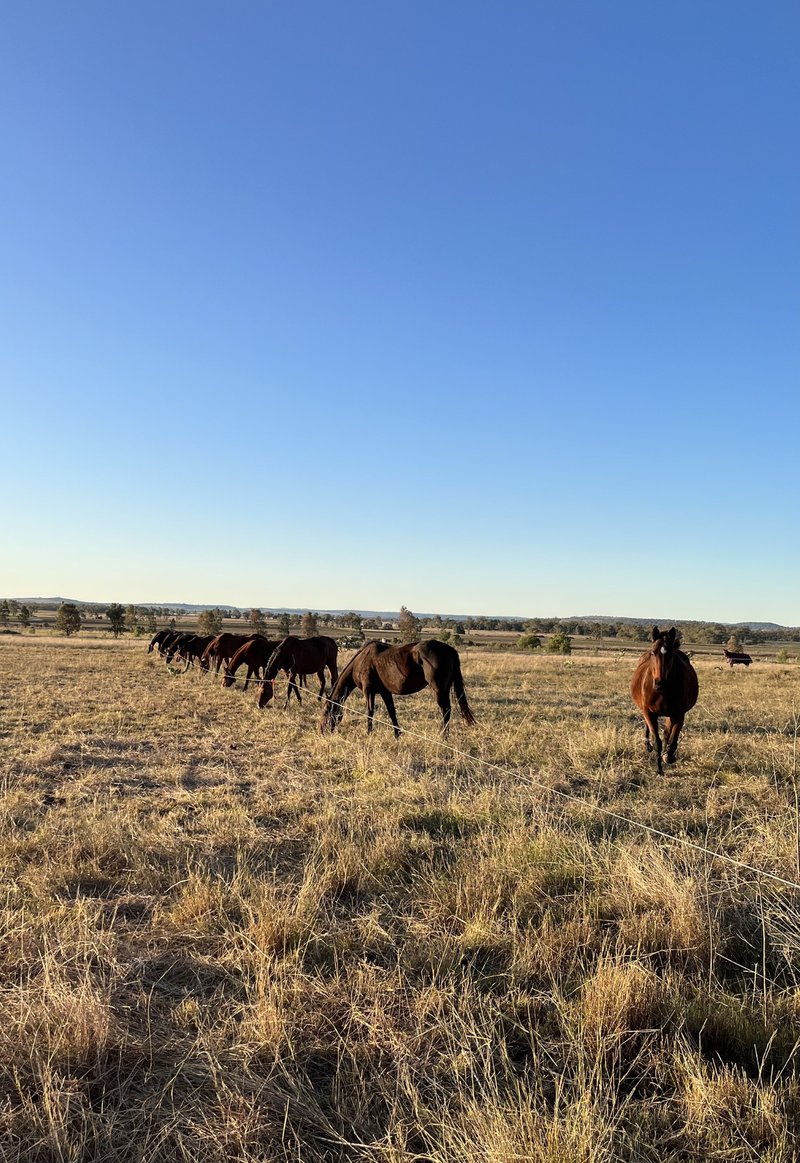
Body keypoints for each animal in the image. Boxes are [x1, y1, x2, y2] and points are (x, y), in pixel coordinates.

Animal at [316, 637, 474, 735]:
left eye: (325, 711)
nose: (321, 730)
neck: (360, 662)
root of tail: (450, 649)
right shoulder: (385, 692)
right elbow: (392, 712)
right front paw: (397, 734)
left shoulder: (368, 691)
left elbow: (370, 711)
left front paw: (369, 733)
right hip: (445, 689)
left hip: (438, 689)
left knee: (445, 710)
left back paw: (442, 736)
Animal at [627, 628, 697, 772]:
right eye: (653, 652)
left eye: (671, 654)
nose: (660, 684)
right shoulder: (649, 712)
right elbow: (657, 741)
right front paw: (659, 769)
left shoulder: (678, 714)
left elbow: (672, 738)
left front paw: (668, 756)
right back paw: (647, 745)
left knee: (666, 734)